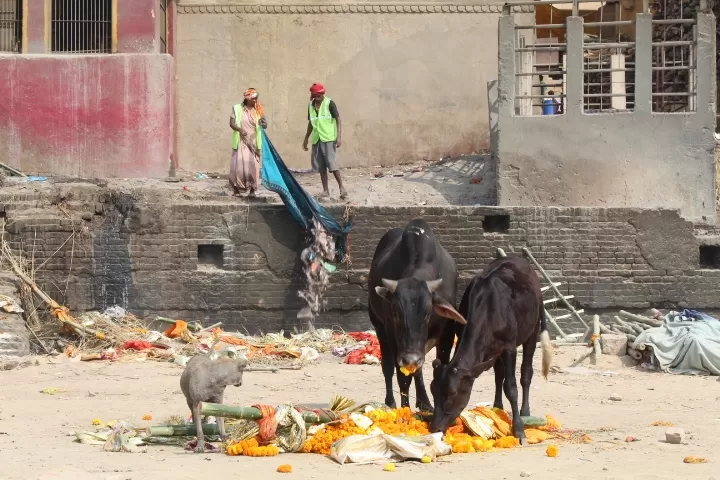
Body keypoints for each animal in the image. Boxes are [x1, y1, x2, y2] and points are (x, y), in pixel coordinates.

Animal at [368, 219, 464, 410]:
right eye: (396, 313)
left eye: (428, 313)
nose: (411, 358)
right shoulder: (396, 342)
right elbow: (403, 378)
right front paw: (405, 411)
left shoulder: (446, 336)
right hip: (379, 327)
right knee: (388, 366)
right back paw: (391, 402)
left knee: (417, 371)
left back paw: (424, 402)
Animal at [430, 255, 556, 442]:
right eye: (432, 389)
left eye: (452, 392)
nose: (435, 427)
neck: (488, 309)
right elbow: (501, 379)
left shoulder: (509, 347)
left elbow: (511, 387)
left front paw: (519, 429)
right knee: (499, 375)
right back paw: (498, 408)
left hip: (532, 332)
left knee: (526, 372)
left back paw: (525, 411)